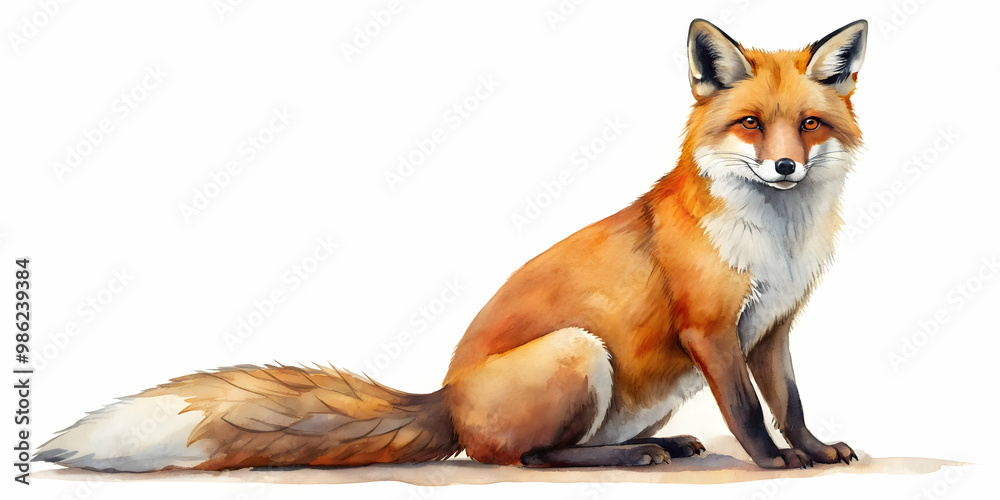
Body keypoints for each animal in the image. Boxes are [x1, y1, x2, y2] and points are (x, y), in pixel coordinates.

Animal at [37, 18, 868, 472]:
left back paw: (666, 446)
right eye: (752, 124)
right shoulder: (708, 327)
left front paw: (814, 449)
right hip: (579, 352)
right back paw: (630, 456)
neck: (777, 240)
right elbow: (751, 414)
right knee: (528, 458)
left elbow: (788, 402)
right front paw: (776, 462)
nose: (786, 167)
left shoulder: (771, 329)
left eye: (810, 125)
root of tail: (447, 397)